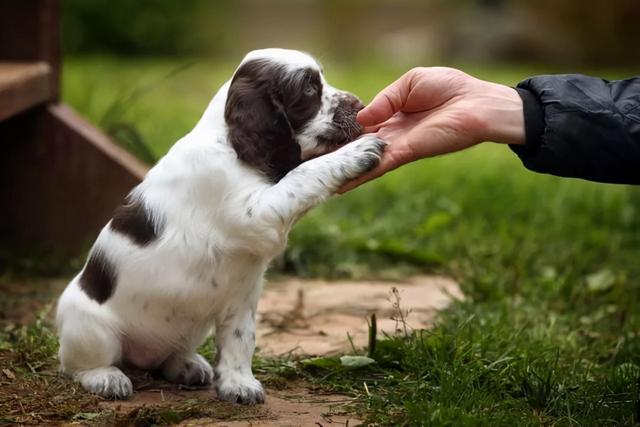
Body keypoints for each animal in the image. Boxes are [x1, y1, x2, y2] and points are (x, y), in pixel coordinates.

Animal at [55, 50, 384, 404]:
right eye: (309, 88)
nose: (361, 104)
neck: (229, 143)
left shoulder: (241, 297)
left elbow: (240, 340)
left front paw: (238, 384)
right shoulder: (256, 213)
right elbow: (303, 174)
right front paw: (357, 152)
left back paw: (188, 366)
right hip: (91, 328)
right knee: (79, 364)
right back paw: (106, 378)